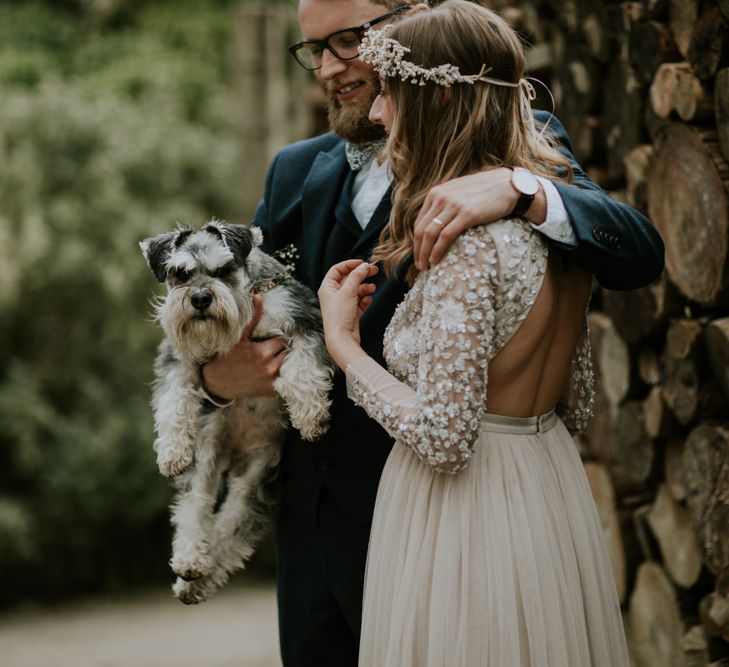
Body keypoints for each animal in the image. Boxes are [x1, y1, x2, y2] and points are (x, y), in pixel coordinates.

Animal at [140, 219, 332, 604]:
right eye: (180, 274)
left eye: (223, 270)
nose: (200, 298)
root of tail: (235, 455)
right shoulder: (178, 358)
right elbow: (172, 400)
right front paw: (171, 451)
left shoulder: (305, 321)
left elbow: (302, 368)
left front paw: (310, 415)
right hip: (207, 455)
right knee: (195, 505)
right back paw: (190, 565)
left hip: (256, 477)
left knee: (230, 527)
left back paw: (197, 578)